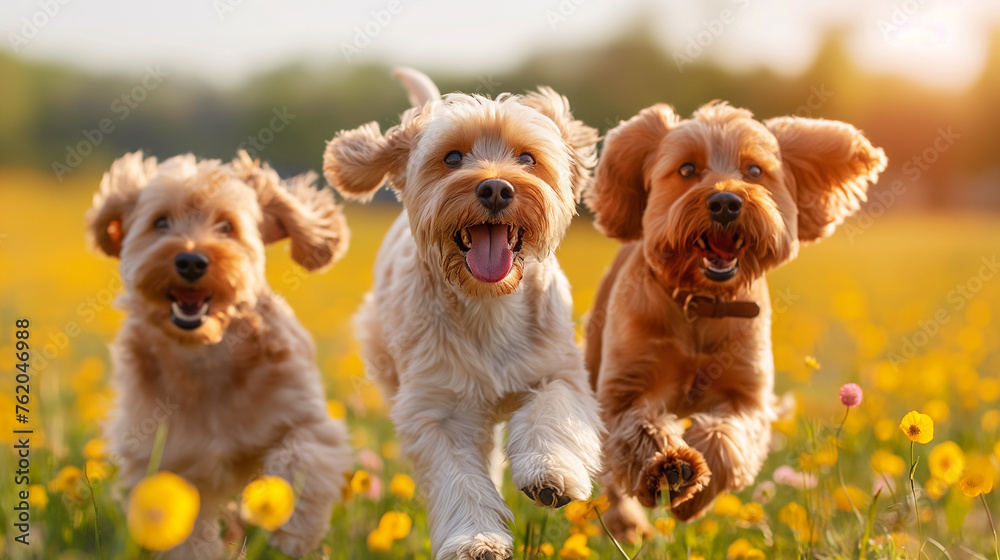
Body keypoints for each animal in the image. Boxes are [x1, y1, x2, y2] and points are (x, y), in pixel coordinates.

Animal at [90, 151, 354, 556]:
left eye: (227, 226)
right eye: (160, 222)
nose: (191, 261)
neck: (205, 355)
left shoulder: (306, 418)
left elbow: (300, 460)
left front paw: (292, 531)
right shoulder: (165, 456)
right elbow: (182, 524)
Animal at [322, 70, 600, 560]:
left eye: (527, 158)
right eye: (452, 157)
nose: (495, 187)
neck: (488, 302)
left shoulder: (559, 370)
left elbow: (551, 409)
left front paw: (550, 473)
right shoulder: (436, 408)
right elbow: (460, 476)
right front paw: (476, 539)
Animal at [584, 101, 888, 540]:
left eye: (755, 171)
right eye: (687, 169)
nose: (726, 201)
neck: (701, 305)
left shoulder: (748, 395)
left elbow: (728, 436)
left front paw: (692, 496)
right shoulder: (623, 389)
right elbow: (637, 431)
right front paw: (671, 467)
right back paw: (626, 523)